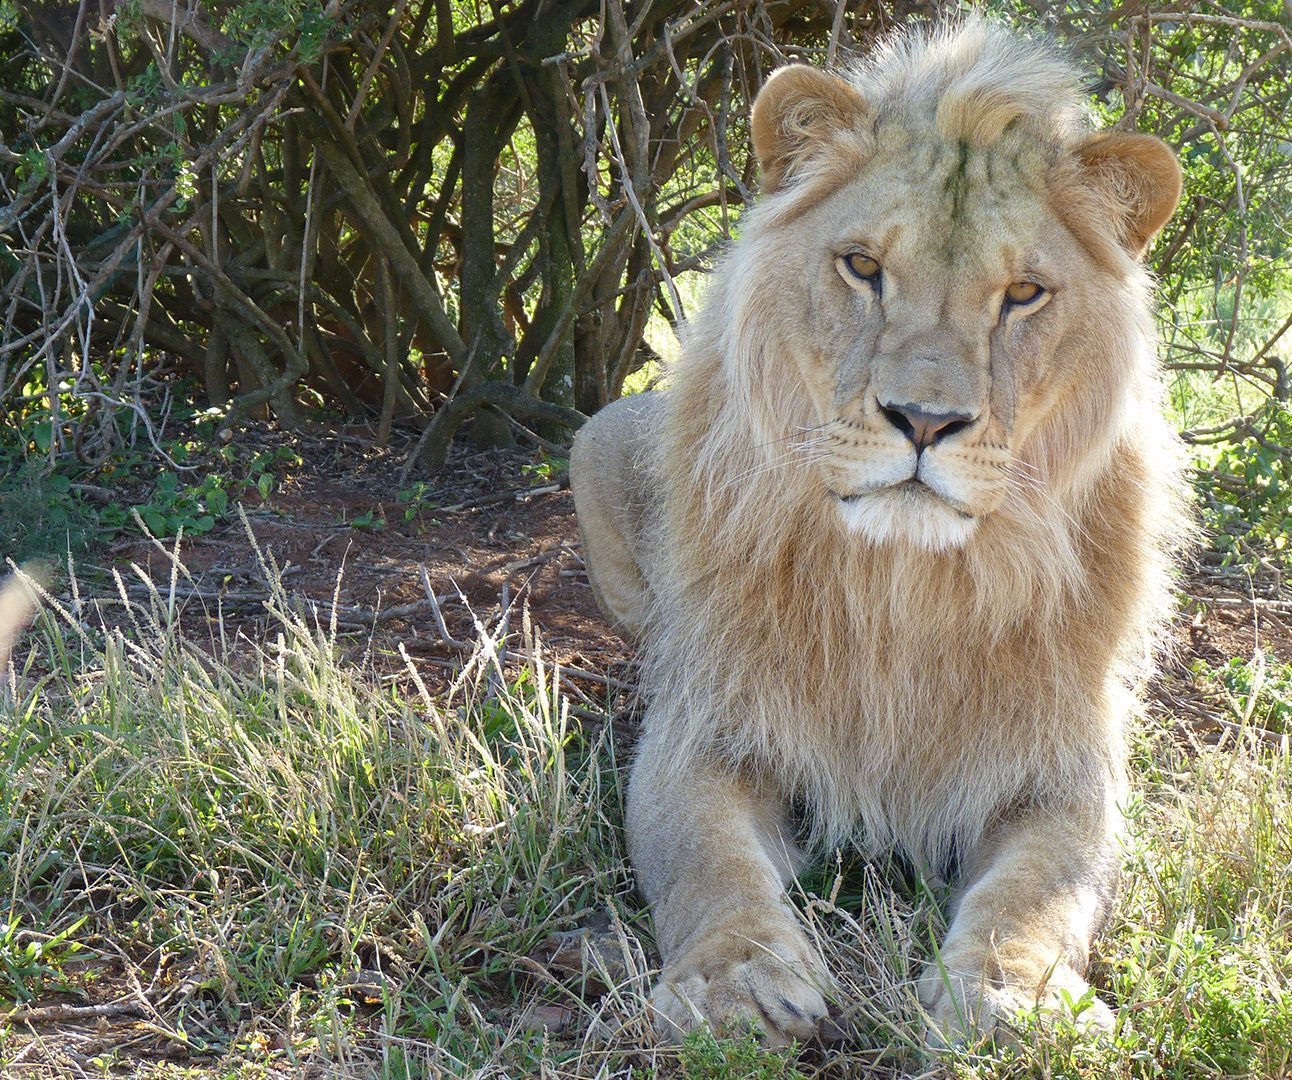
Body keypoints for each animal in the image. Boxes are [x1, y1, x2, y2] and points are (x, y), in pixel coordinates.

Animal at [571, 16, 1183, 1043]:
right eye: (863, 267)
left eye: (1024, 294)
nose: (924, 421)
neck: (906, 583)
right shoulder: (703, 731)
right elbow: (706, 861)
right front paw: (739, 984)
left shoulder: (1065, 771)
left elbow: (1040, 890)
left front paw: (1012, 997)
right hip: (598, 435)